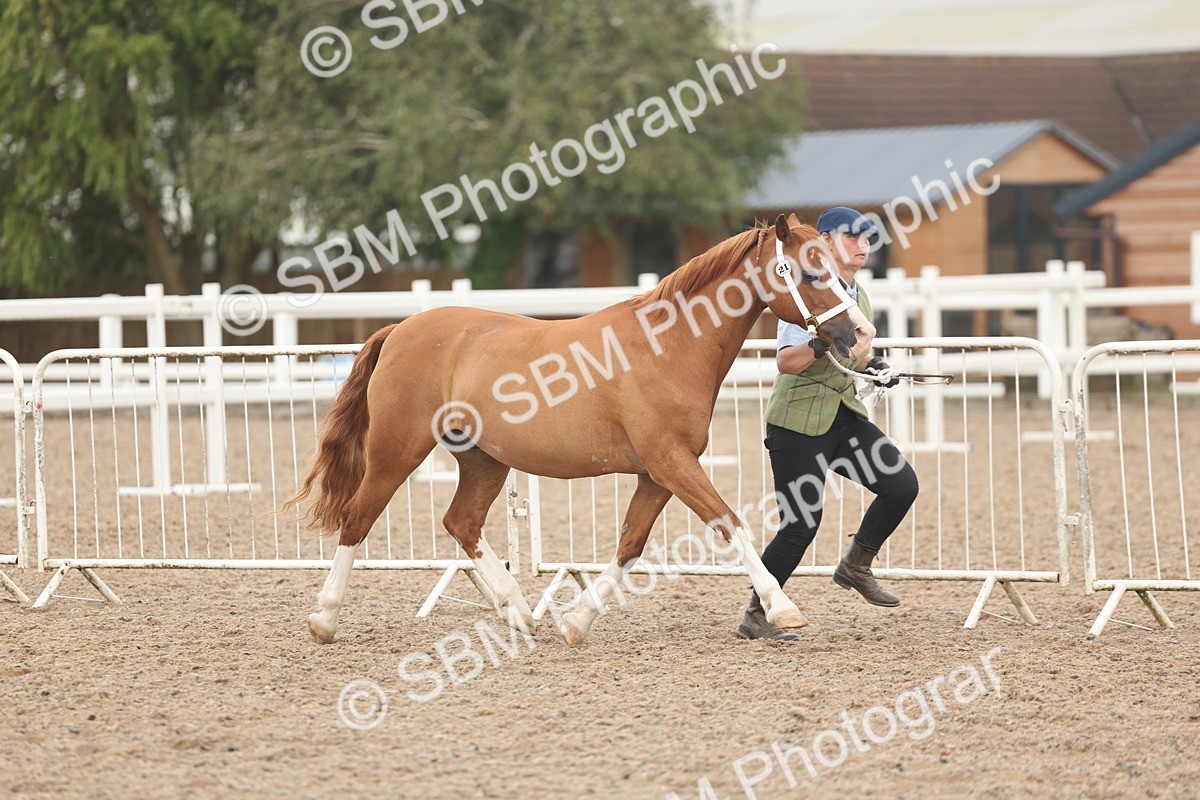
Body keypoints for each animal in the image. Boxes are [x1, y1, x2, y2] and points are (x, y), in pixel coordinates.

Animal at [282, 213, 872, 646]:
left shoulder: (658, 474)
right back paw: (324, 620)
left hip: (483, 460)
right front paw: (784, 608)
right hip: (396, 451)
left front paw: (576, 622)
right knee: (358, 518)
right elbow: (729, 524)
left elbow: (629, 545)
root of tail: (401, 328)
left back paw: (518, 611)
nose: (863, 336)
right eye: (810, 273)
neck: (668, 347)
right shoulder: (672, 463)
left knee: (461, 523)